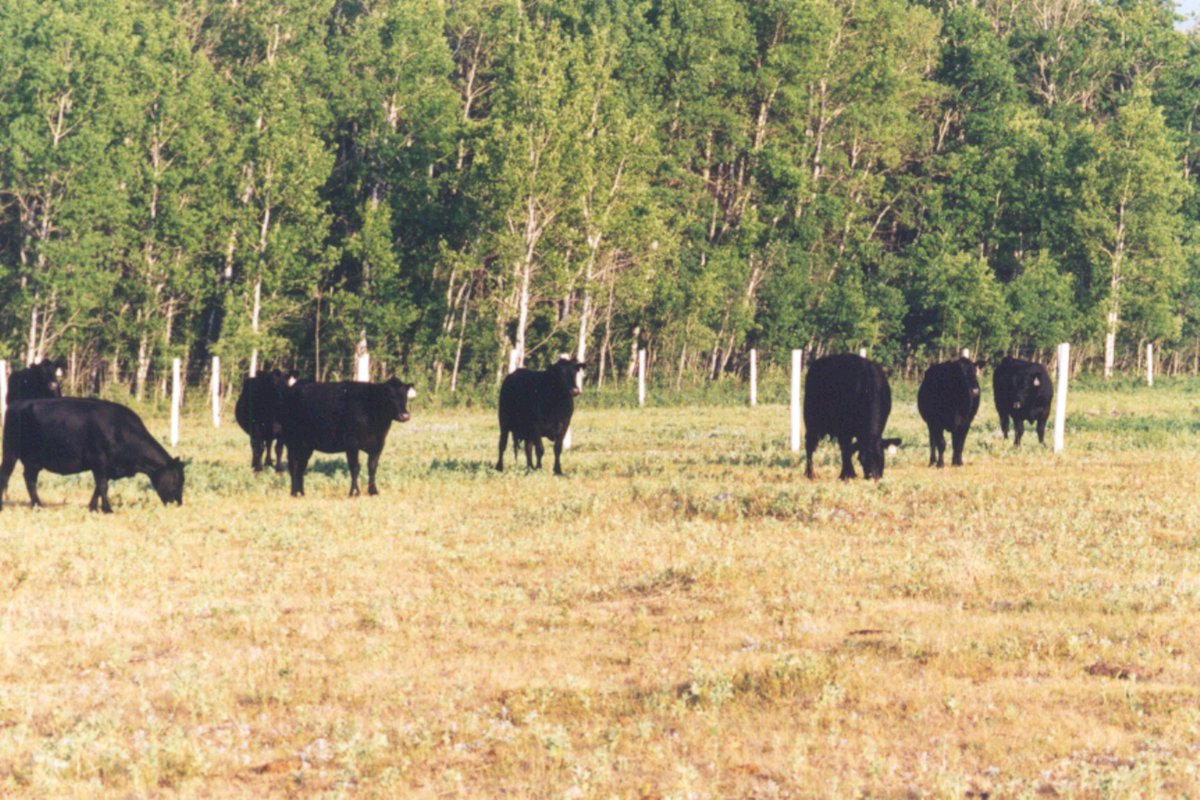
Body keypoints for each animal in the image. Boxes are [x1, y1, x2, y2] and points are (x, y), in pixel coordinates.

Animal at [0, 398, 184, 512]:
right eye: (176, 480)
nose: (179, 503)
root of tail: (17, 404)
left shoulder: (107, 467)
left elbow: (98, 487)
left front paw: (93, 507)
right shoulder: (99, 461)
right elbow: (103, 485)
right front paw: (108, 509)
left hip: (33, 461)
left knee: (29, 479)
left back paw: (37, 505)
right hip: (11, 452)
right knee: (7, 475)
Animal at [281, 378, 415, 497]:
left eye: (405, 396)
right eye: (390, 396)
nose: (405, 415)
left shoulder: (378, 445)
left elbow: (372, 467)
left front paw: (373, 491)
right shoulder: (352, 443)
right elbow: (355, 467)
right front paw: (354, 492)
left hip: (306, 445)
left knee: (301, 466)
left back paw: (301, 492)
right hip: (292, 441)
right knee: (293, 465)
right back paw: (294, 493)